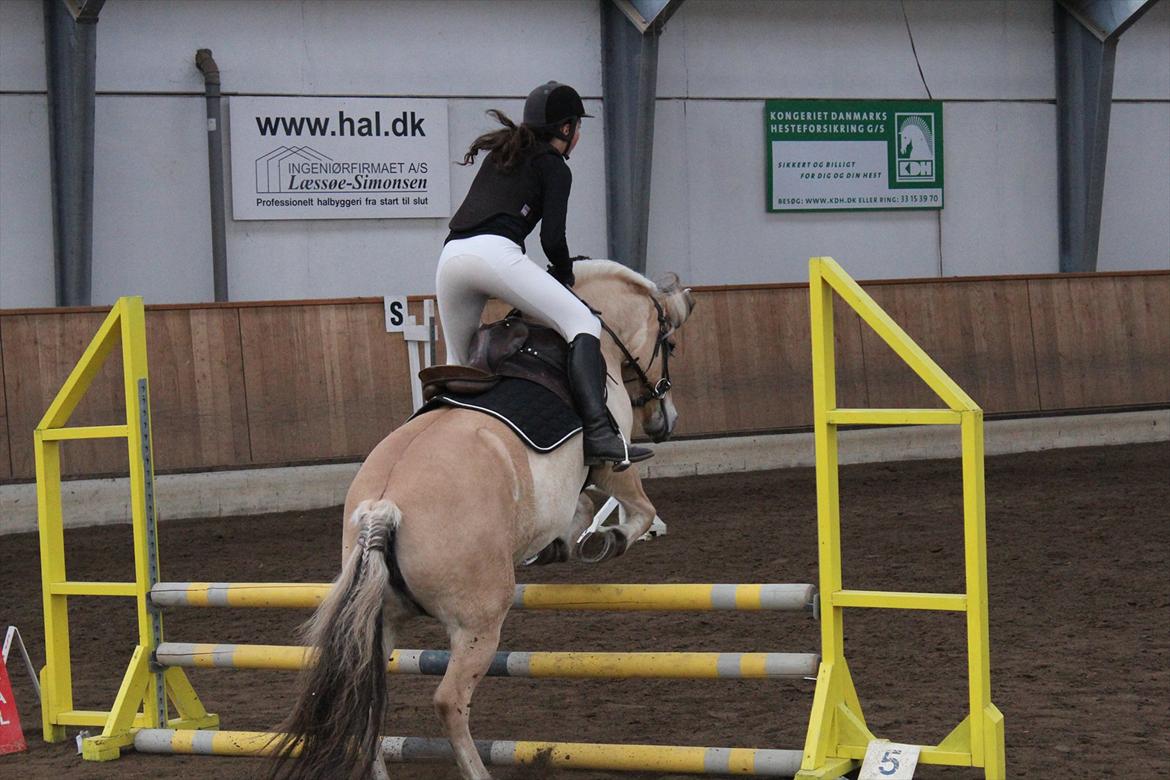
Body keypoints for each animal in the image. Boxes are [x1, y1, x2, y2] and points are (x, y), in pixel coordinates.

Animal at [267, 259, 692, 776]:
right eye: (669, 344)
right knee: (449, 701)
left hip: (376, 627)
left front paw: (562, 544)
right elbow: (636, 510)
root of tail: (380, 512)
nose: (666, 419)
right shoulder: (614, 466)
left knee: (367, 701)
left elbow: (580, 511)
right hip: (478, 624)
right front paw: (608, 539)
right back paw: (478, 769)